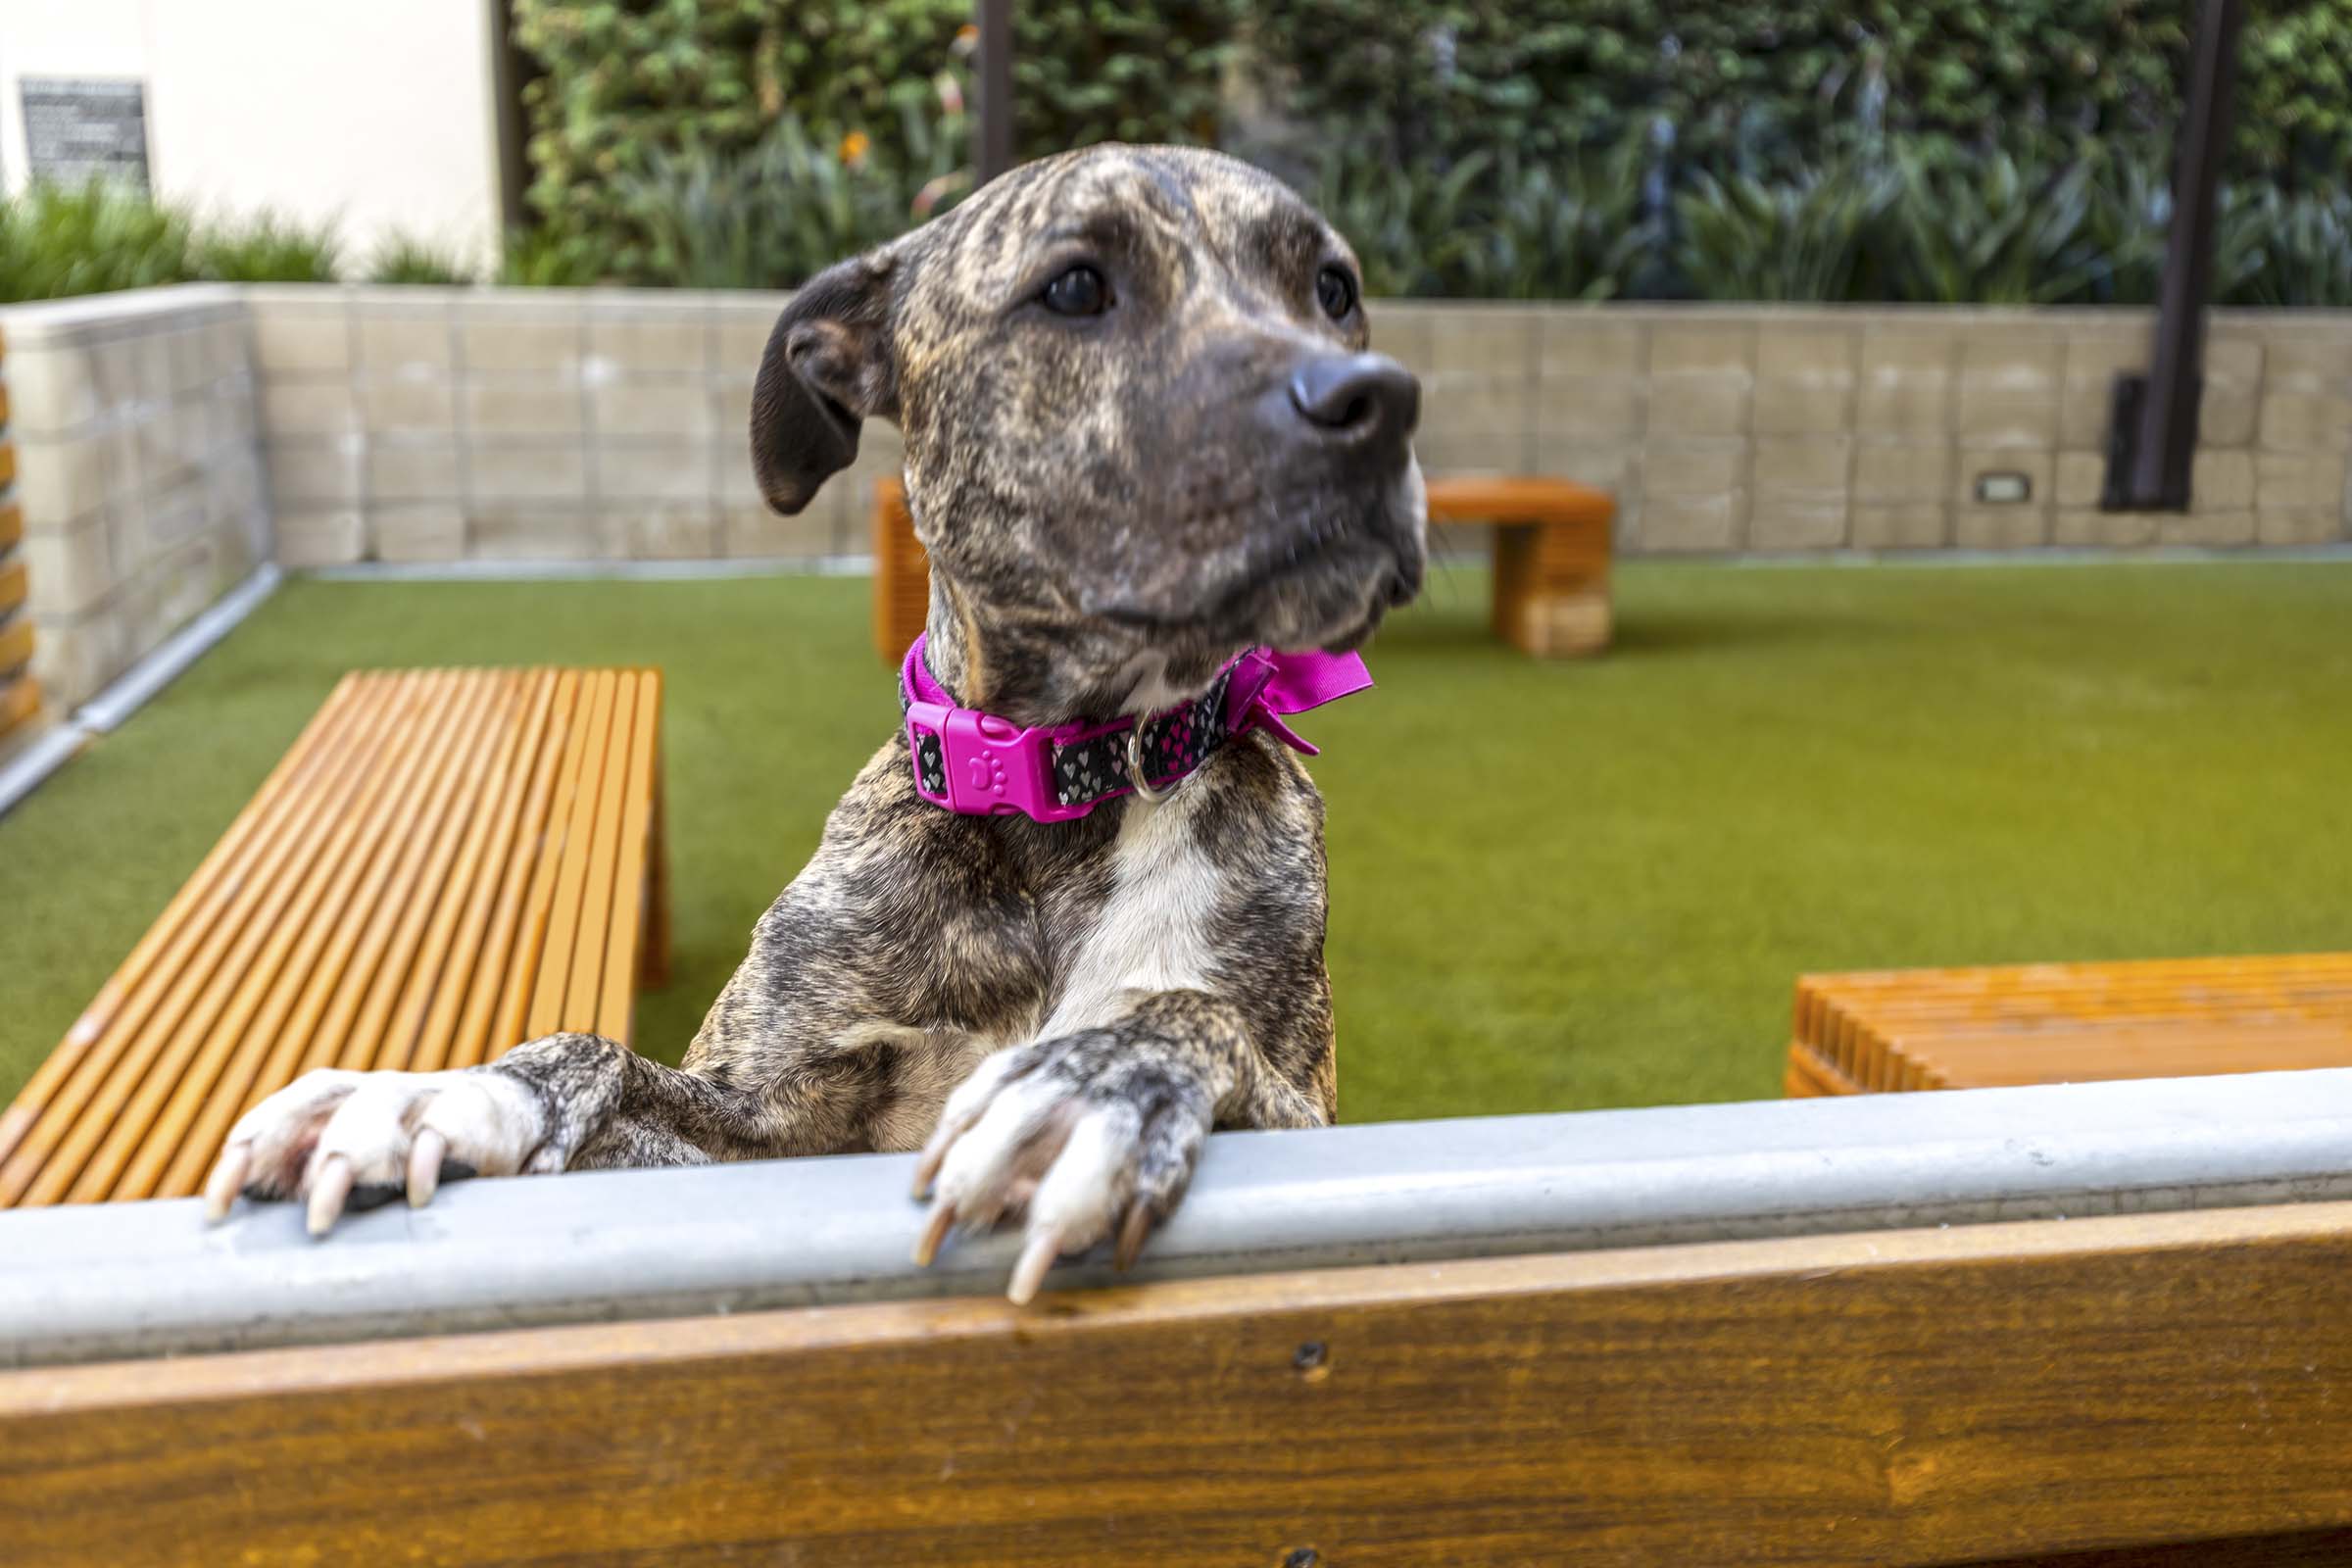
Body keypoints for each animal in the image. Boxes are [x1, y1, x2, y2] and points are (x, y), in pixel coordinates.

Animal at [207, 143, 1411, 1298]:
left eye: (1334, 289)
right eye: (1076, 285)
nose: (1381, 399)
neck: (1064, 799)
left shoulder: (1313, 1113)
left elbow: (1187, 1013)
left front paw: (1101, 1078)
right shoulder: (773, 1123)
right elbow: (605, 1057)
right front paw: (439, 1093)